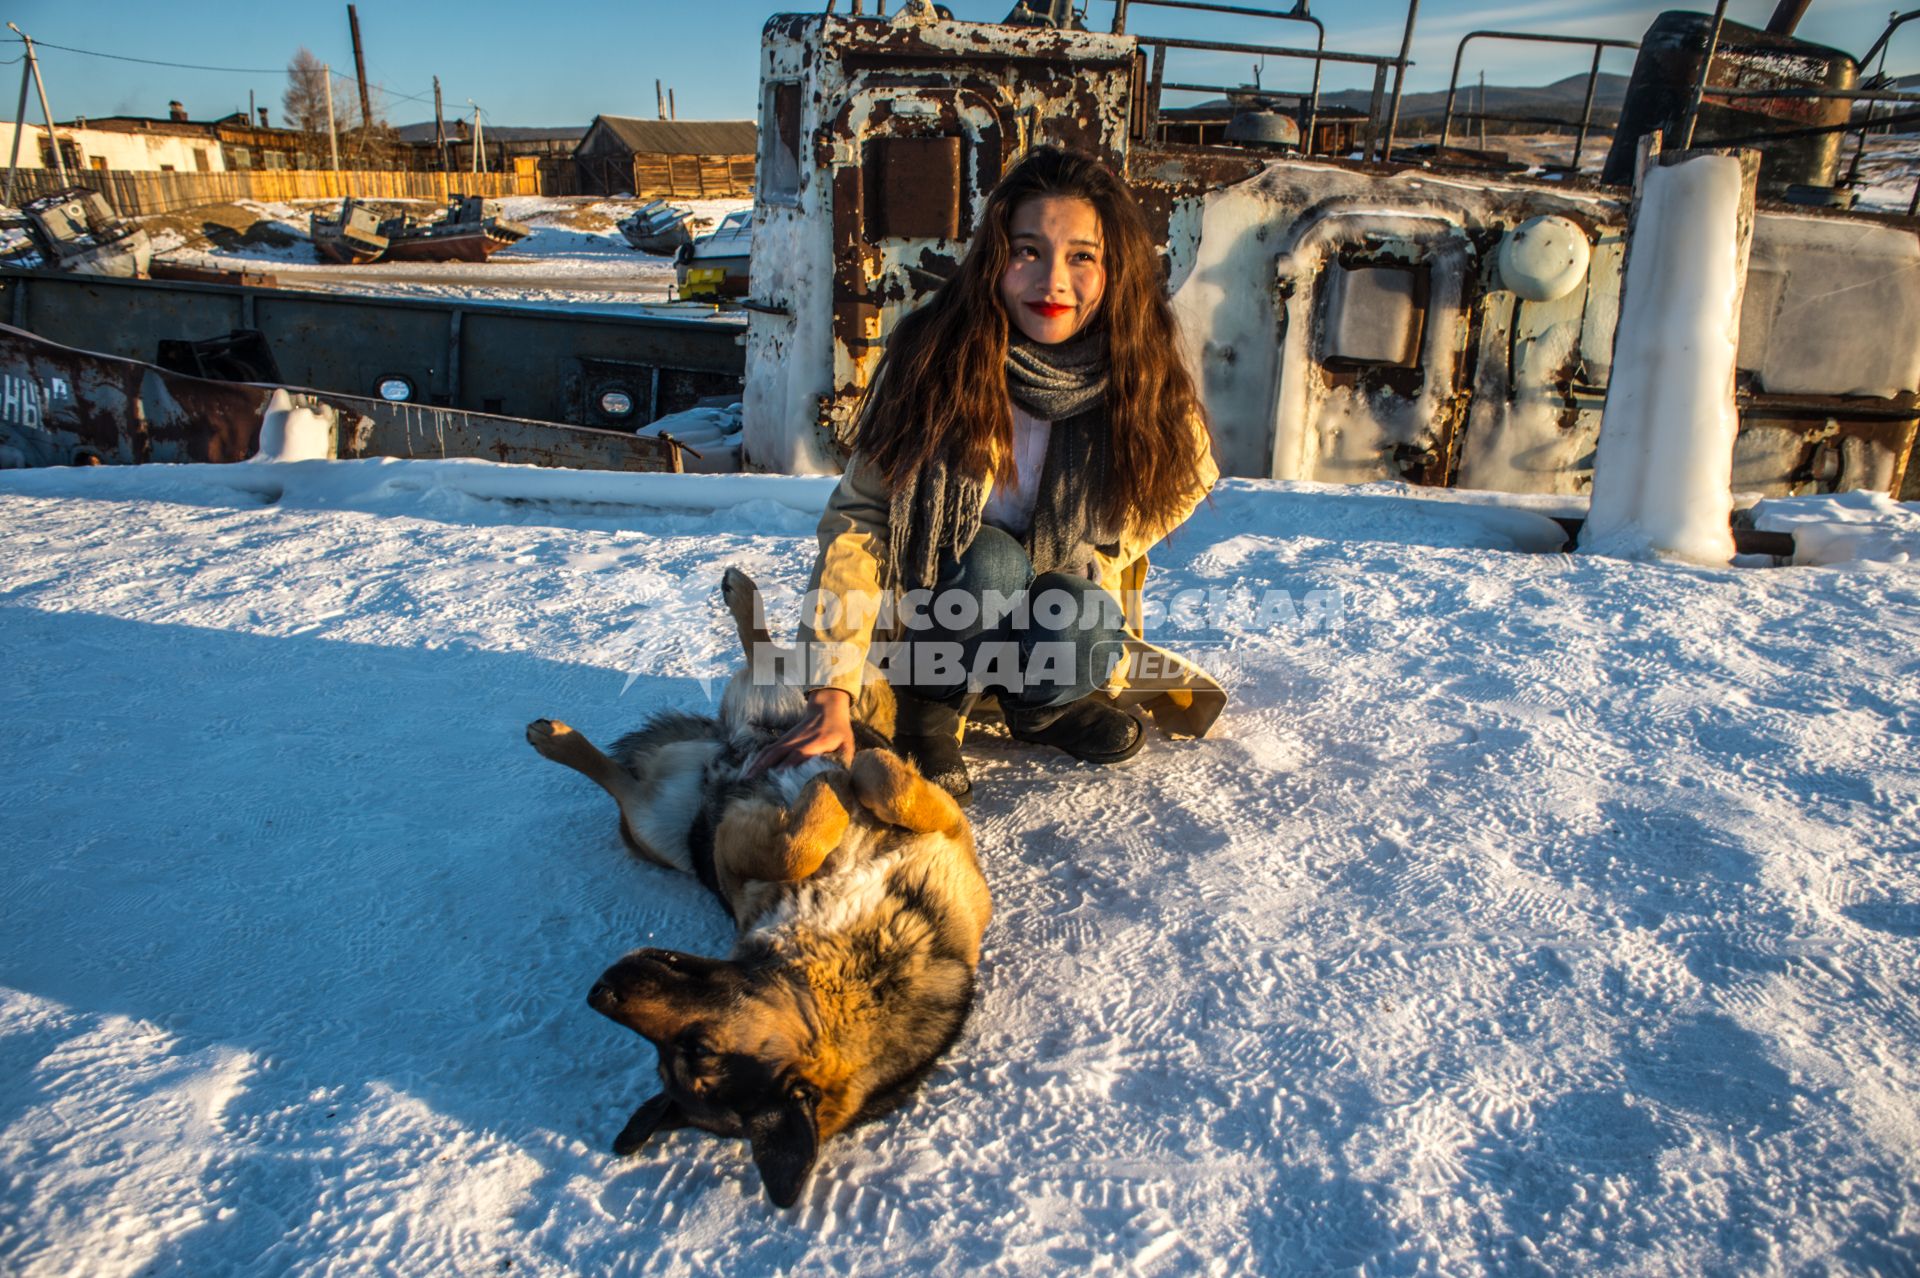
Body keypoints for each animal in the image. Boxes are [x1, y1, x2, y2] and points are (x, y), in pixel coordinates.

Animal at [533, 568, 998, 1205]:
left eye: (695, 1051)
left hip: (674, 818)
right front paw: (831, 785)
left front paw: (837, 781)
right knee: (783, 676)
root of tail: (720, 741)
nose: (599, 991)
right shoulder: (735, 855)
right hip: (701, 796)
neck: (846, 962)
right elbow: (805, 839)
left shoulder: (948, 834)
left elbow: (877, 783)